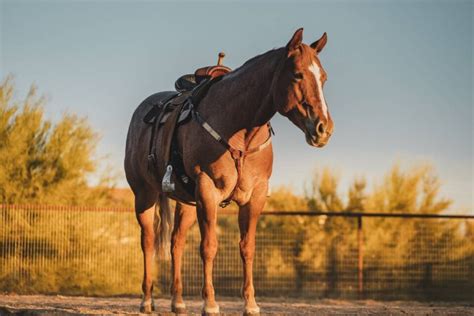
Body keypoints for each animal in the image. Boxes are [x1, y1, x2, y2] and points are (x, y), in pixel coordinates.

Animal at [124, 28, 336, 314]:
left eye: (323, 77)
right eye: (297, 74)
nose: (324, 128)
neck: (240, 130)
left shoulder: (255, 196)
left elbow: (247, 248)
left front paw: (251, 303)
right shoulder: (208, 191)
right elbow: (209, 246)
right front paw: (210, 303)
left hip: (186, 203)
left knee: (176, 243)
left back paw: (178, 301)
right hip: (144, 194)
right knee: (147, 241)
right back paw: (147, 300)